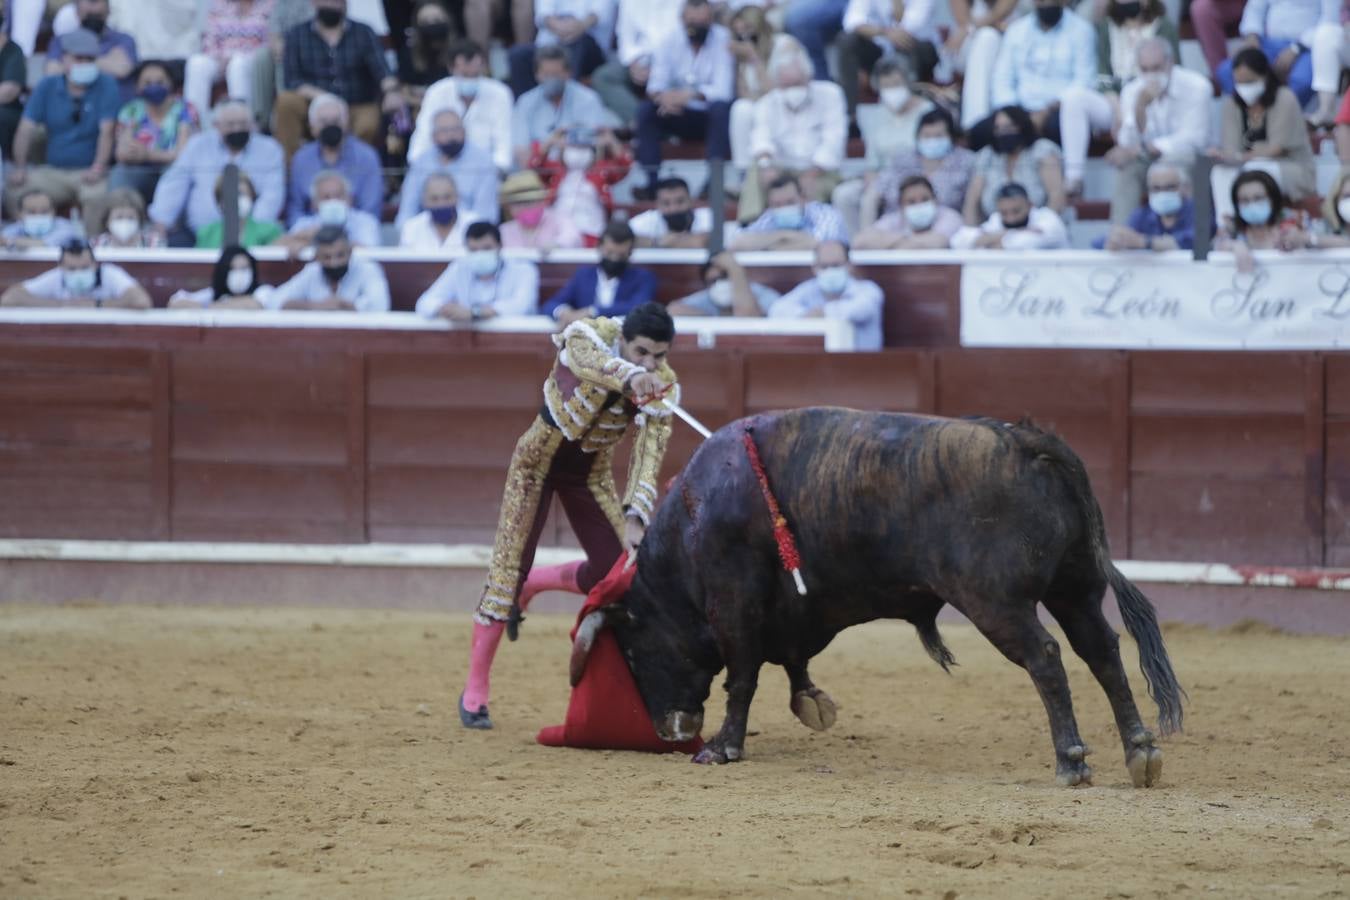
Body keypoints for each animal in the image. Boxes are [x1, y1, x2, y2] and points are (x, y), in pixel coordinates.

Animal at [575, 407, 1188, 788]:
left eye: (633, 653)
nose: (670, 731)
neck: (696, 514)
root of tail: (1026, 440)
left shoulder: (733, 597)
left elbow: (742, 674)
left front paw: (722, 747)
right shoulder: (794, 608)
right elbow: (789, 658)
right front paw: (810, 701)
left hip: (996, 602)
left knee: (1046, 657)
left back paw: (1072, 761)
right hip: (1075, 589)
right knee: (1101, 650)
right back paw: (1140, 751)